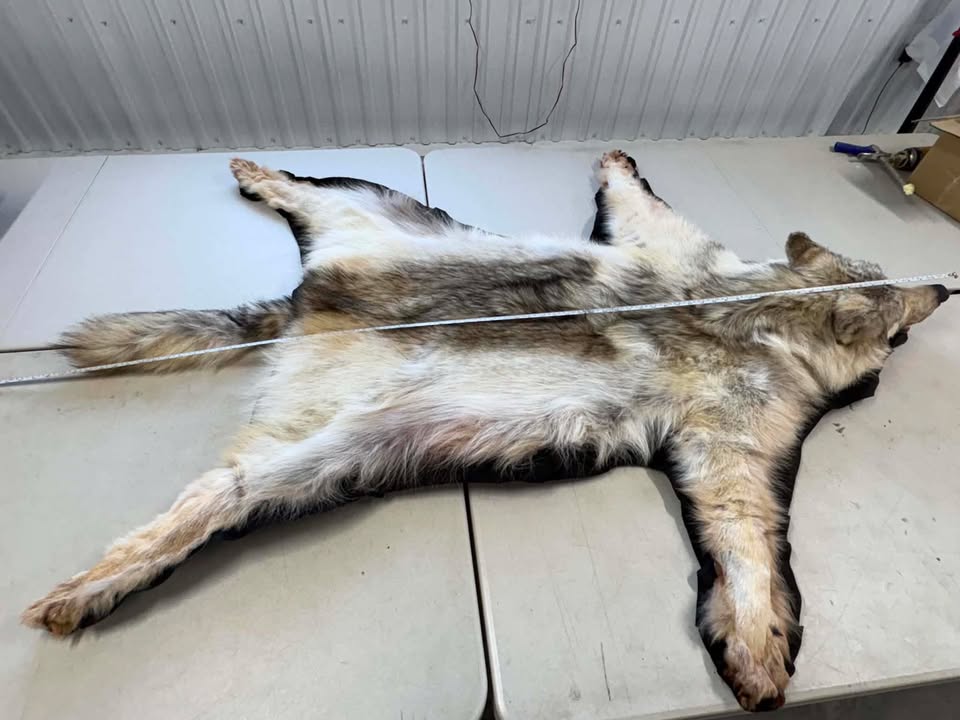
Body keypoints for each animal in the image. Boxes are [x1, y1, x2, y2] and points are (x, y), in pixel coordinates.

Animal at [21, 150, 950, 711]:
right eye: (895, 306)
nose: (943, 286)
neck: (765, 311)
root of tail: (306, 308)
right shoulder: (734, 406)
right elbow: (755, 548)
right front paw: (760, 650)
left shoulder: (725, 413)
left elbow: (745, 545)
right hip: (373, 268)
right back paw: (88, 590)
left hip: (339, 406)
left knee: (222, 481)